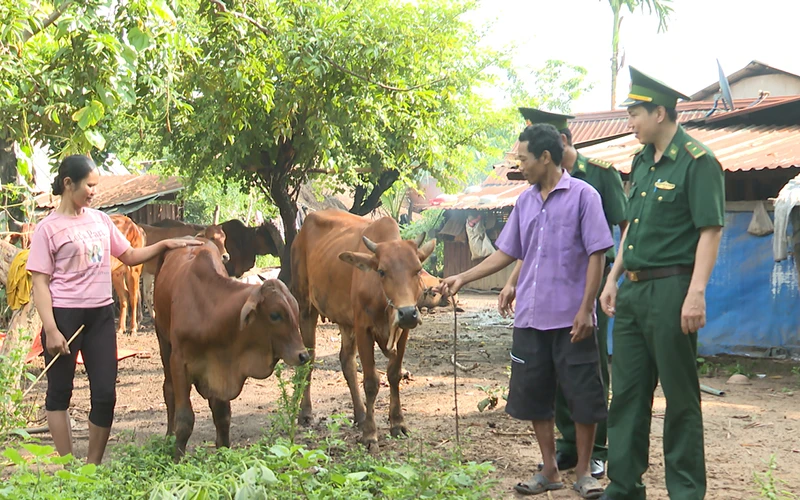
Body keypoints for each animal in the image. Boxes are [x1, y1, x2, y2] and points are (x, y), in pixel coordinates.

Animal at [154, 238, 310, 460]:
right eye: (275, 315)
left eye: (295, 310)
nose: (303, 355)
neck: (208, 311)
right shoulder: (179, 363)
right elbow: (185, 419)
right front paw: (177, 459)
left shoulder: (220, 368)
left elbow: (223, 416)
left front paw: (223, 453)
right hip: (163, 340)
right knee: (168, 390)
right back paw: (168, 437)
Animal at [290, 208, 434, 450]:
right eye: (382, 271)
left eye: (418, 270)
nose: (407, 313)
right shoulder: (363, 328)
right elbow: (371, 382)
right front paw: (370, 434)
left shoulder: (403, 332)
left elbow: (394, 375)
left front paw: (397, 423)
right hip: (306, 307)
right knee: (309, 358)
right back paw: (306, 412)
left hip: (345, 321)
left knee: (346, 360)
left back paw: (360, 414)